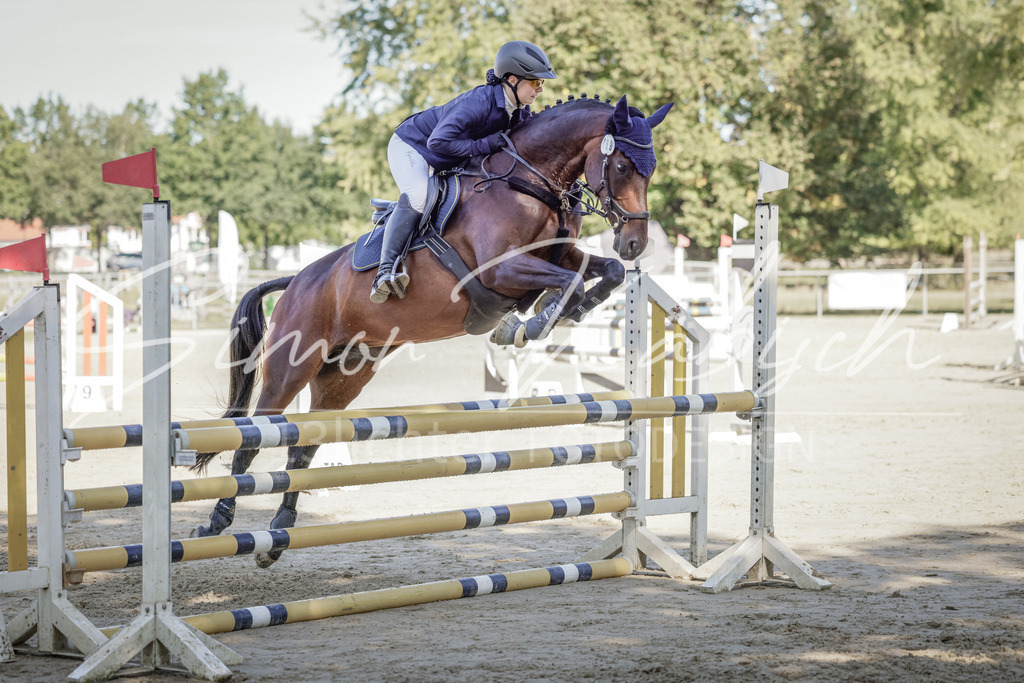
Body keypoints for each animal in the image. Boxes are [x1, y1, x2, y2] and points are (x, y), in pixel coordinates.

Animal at [191, 94, 673, 567]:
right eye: (623, 166)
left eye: (649, 170)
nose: (634, 244)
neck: (526, 185)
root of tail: (294, 281)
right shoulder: (501, 270)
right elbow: (568, 282)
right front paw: (531, 322)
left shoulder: (561, 255)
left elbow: (604, 272)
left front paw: (557, 312)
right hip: (291, 369)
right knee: (252, 438)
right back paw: (217, 522)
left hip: (343, 376)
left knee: (303, 445)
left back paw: (279, 532)